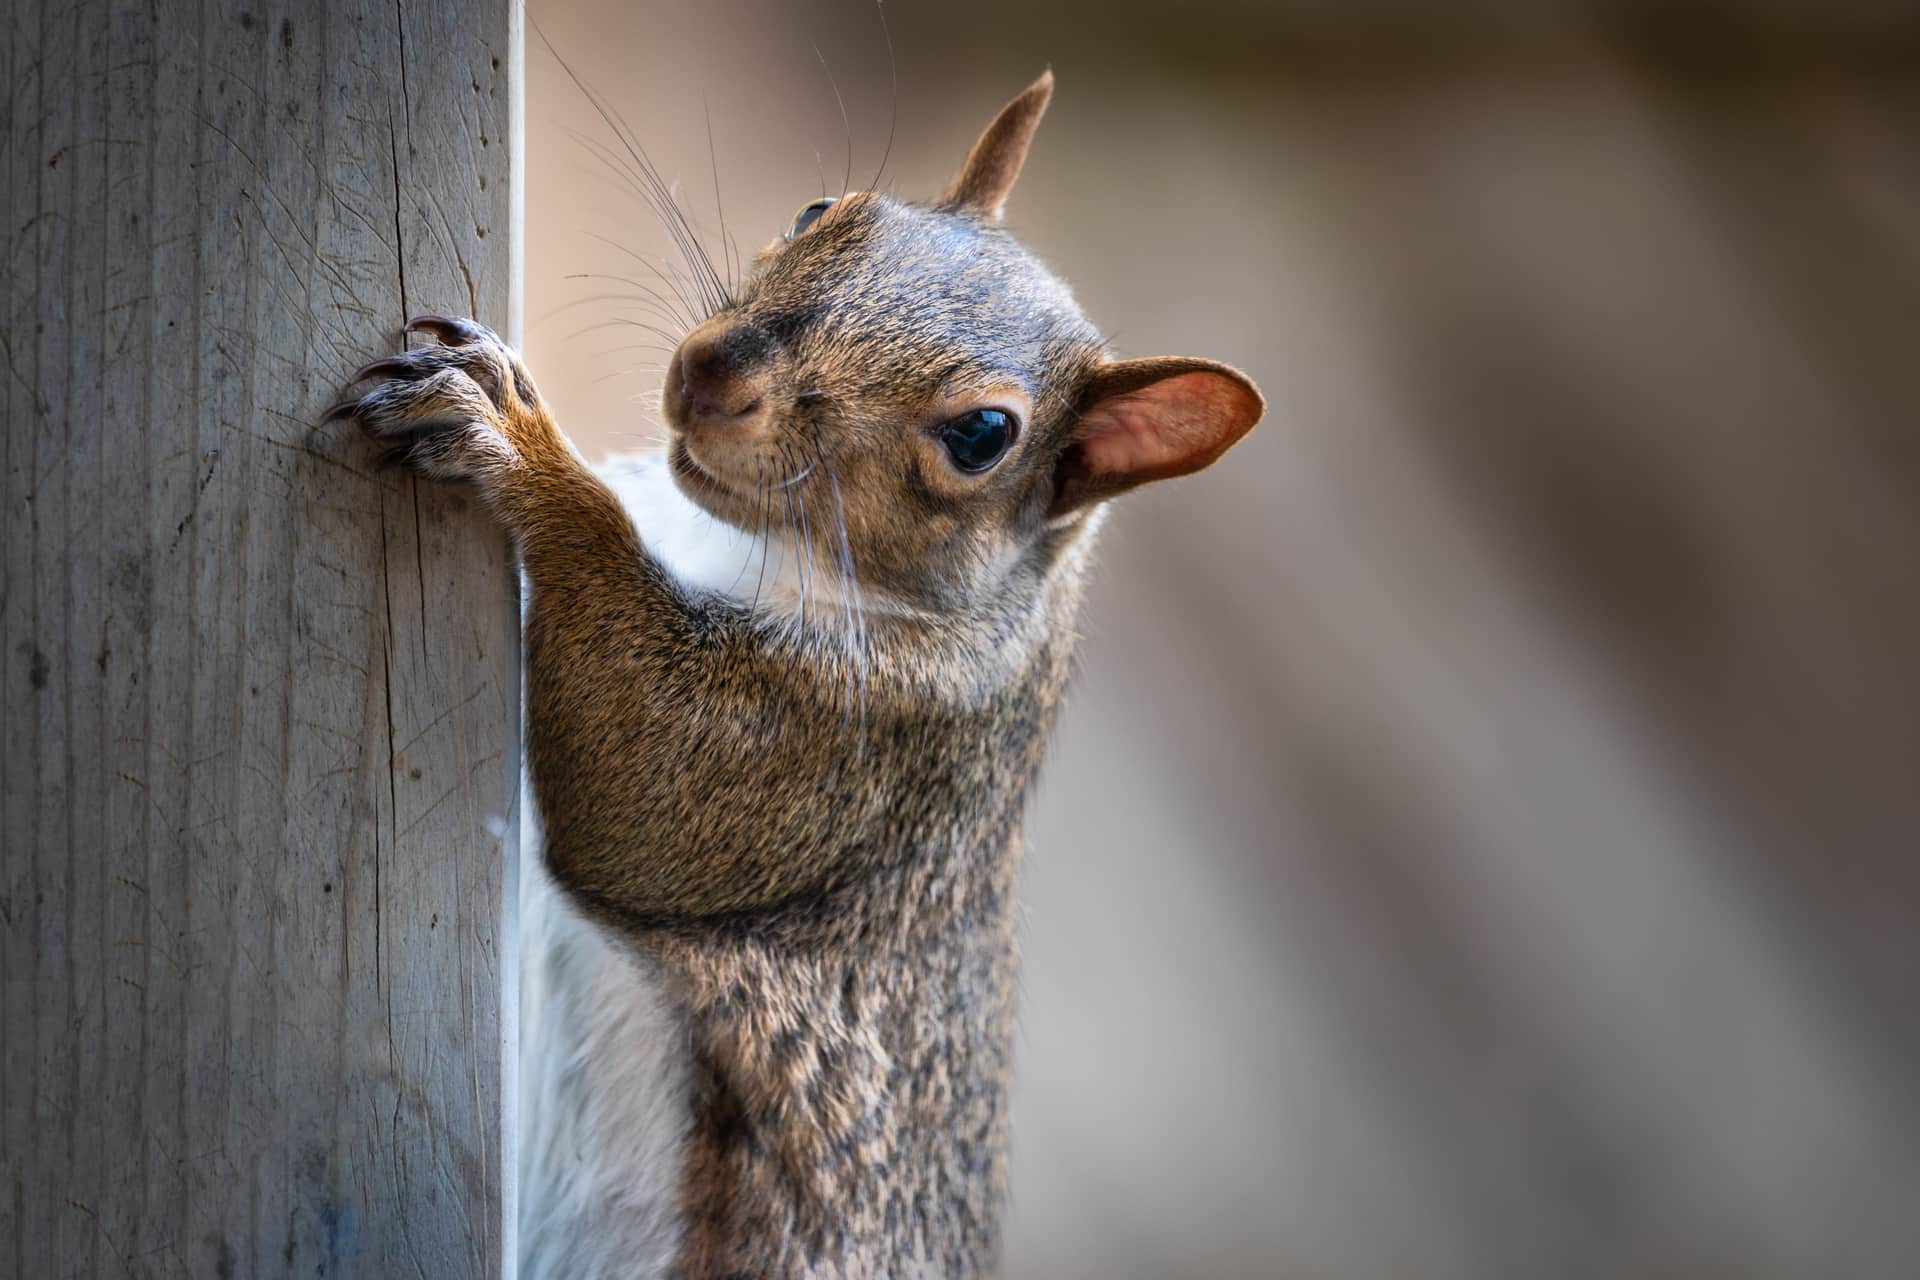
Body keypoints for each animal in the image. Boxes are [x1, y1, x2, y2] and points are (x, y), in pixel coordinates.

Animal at [331, 70, 1262, 1279]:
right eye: (827, 210)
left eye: (983, 434)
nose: (711, 372)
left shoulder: (856, 748)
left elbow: (643, 772)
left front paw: (521, 443)